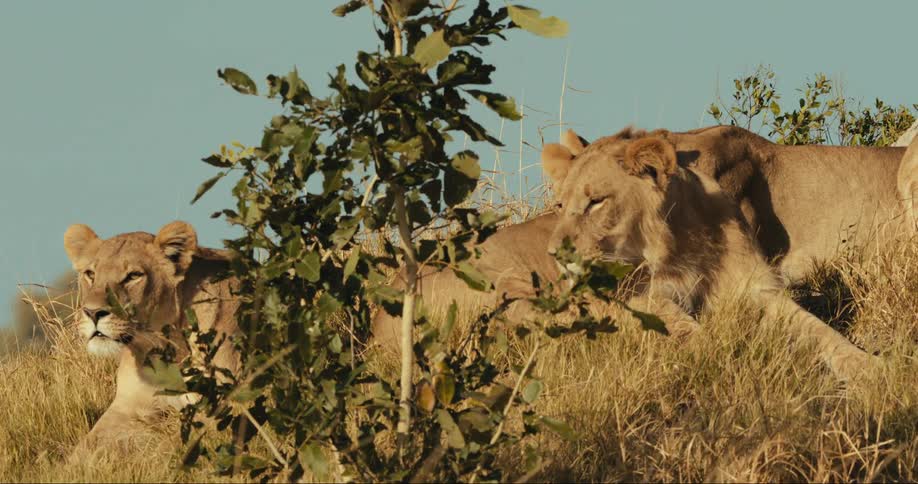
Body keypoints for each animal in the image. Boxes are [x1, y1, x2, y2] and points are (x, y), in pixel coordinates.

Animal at [63, 221, 239, 453]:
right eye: (90, 274)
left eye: (133, 276)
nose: (92, 313)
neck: (162, 348)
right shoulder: (125, 406)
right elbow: (84, 447)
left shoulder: (230, 406)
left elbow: (166, 440)